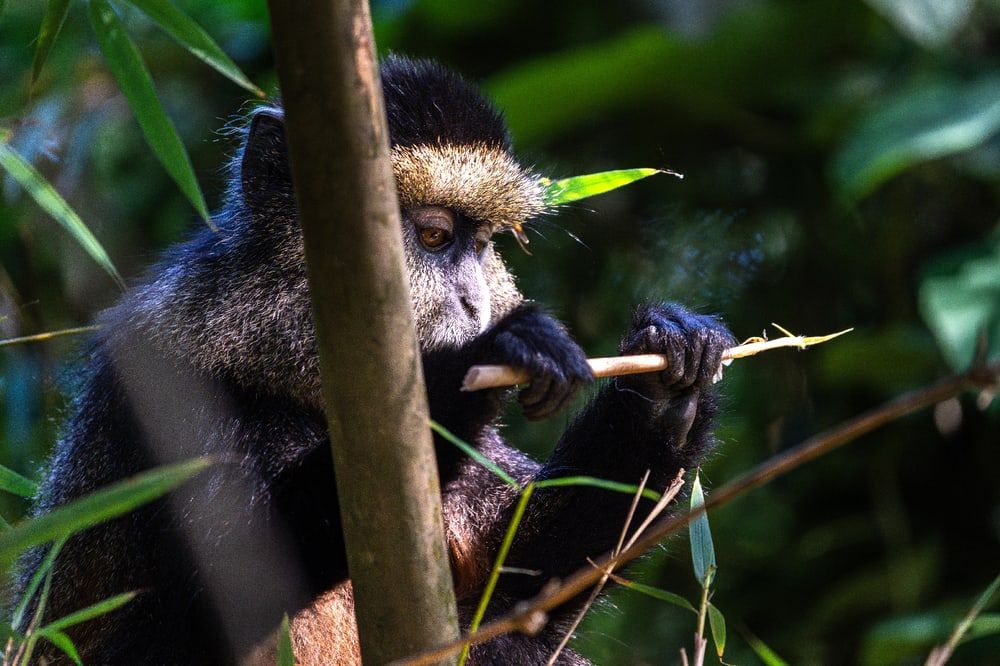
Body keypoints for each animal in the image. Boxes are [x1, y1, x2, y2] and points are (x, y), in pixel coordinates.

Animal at [14, 55, 734, 665]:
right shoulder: (173, 392)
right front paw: (478, 364)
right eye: (435, 238)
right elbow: (225, 597)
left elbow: (518, 587)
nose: (475, 303)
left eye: (484, 244)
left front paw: (668, 378)